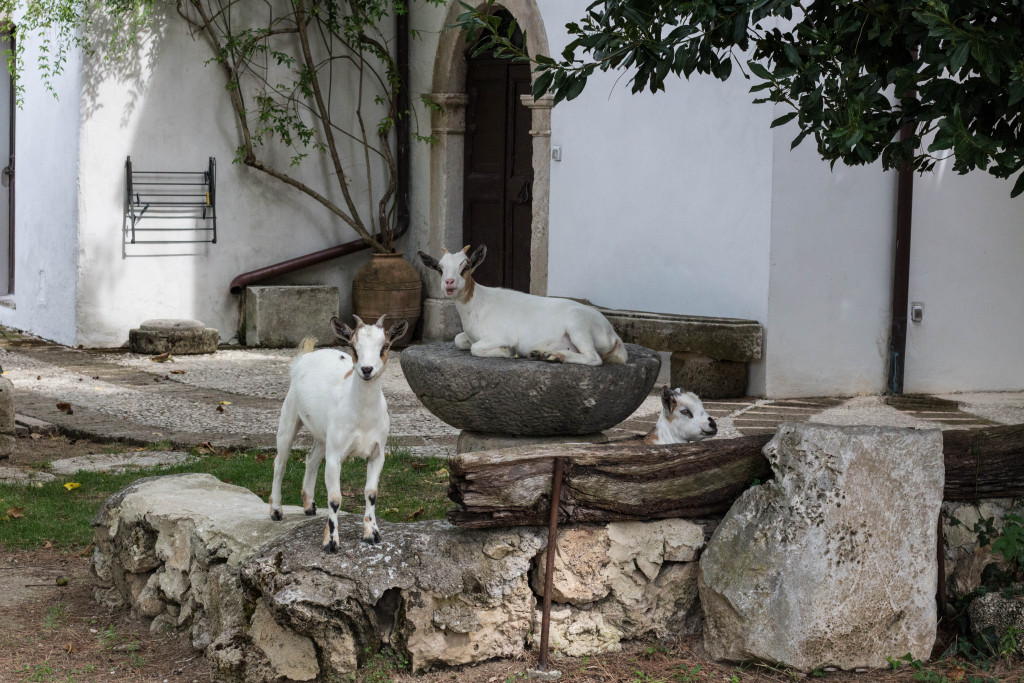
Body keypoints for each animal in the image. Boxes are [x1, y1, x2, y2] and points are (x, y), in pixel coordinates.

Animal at [270, 313, 405, 552]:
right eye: (353, 346)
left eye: (385, 345)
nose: (367, 369)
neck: (363, 418)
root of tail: (305, 357)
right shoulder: (335, 455)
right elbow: (335, 498)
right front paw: (331, 542)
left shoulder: (378, 452)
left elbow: (371, 493)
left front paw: (372, 534)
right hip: (290, 414)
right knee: (280, 462)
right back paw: (276, 510)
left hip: (324, 434)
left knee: (312, 458)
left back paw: (309, 505)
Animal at [413, 242, 622, 366]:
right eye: (440, 269)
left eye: (466, 267)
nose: (449, 282)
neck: (477, 304)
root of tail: (613, 336)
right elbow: (459, 340)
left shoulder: (500, 335)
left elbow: (475, 348)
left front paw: (508, 352)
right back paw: (545, 354)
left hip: (578, 324)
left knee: (593, 358)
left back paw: (554, 356)